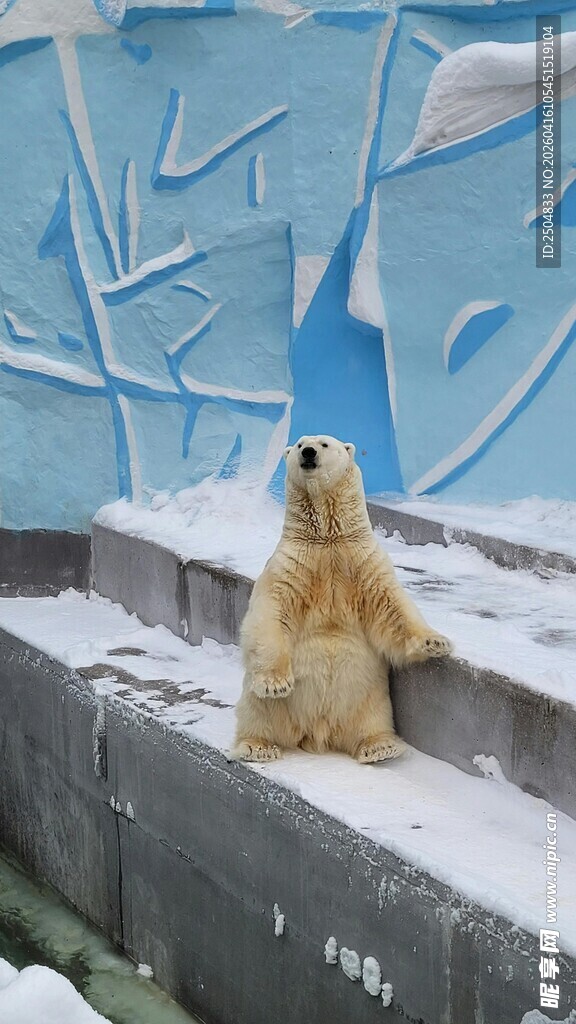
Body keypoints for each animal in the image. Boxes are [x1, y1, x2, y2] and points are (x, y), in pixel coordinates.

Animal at [232, 434, 453, 764]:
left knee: (373, 719)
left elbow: (392, 605)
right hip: (267, 703)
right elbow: (271, 611)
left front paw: (437, 642)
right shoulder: (290, 565)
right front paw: (275, 683)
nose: (308, 453)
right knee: (257, 711)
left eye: (324, 444)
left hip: (369, 697)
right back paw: (258, 746)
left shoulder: (363, 562)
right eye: (299, 444)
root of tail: (316, 732)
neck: (328, 539)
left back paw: (380, 747)